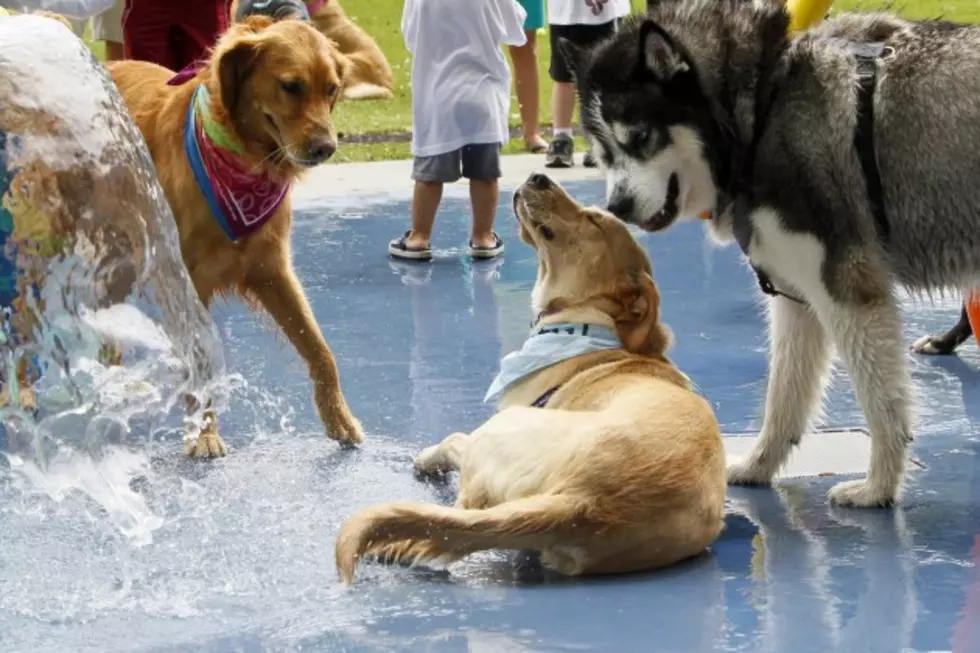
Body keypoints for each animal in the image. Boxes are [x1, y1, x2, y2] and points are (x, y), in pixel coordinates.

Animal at [107, 15, 366, 454]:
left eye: (331, 88)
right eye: (290, 86)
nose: (326, 148)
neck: (244, 160)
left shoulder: (271, 268)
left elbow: (320, 350)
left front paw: (340, 420)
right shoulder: (188, 280)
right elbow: (204, 361)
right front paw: (205, 434)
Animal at [336, 174, 728, 584]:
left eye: (594, 220)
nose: (537, 177)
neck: (586, 323)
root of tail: (579, 502)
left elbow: (450, 445)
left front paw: (426, 461)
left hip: (499, 430)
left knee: (456, 504)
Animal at [560, 1, 980, 510]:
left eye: (640, 137)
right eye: (602, 150)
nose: (617, 206)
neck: (761, 106)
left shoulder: (848, 290)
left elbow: (882, 404)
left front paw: (879, 487)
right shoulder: (796, 296)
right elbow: (784, 398)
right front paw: (759, 467)